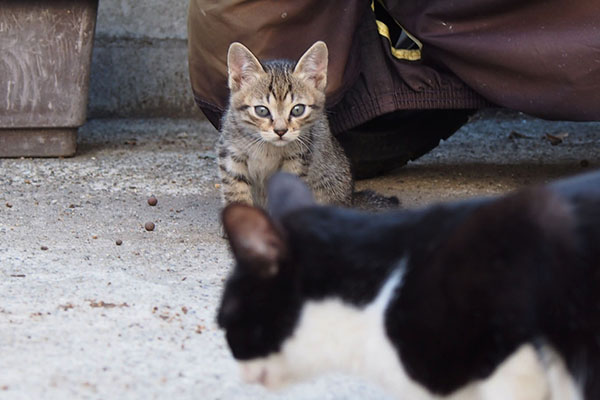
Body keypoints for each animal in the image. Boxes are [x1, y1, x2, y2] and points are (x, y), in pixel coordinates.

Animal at [218, 41, 354, 209]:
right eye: (261, 110)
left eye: (297, 109)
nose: (280, 131)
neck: (267, 149)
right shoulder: (231, 154)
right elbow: (236, 194)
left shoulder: (298, 159)